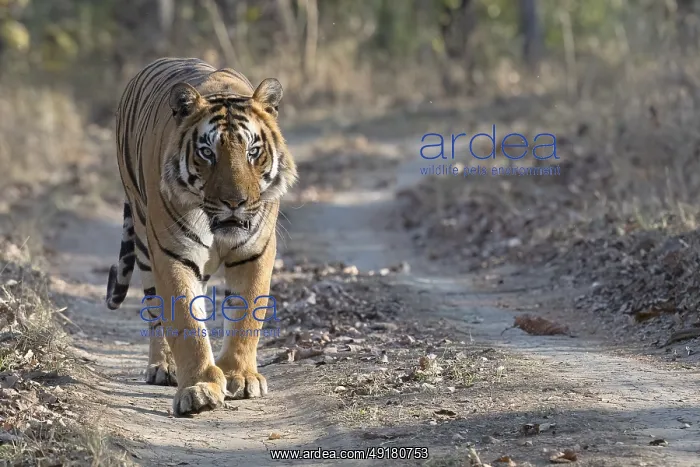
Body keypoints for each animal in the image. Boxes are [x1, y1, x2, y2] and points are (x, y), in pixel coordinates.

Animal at [104, 57, 297, 416]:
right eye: (207, 152)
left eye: (252, 151)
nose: (235, 202)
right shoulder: (172, 255)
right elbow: (186, 323)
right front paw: (199, 390)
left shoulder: (256, 252)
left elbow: (246, 315)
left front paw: (240, 377)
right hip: (143, 240)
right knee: (155, 311)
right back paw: (163, 367)